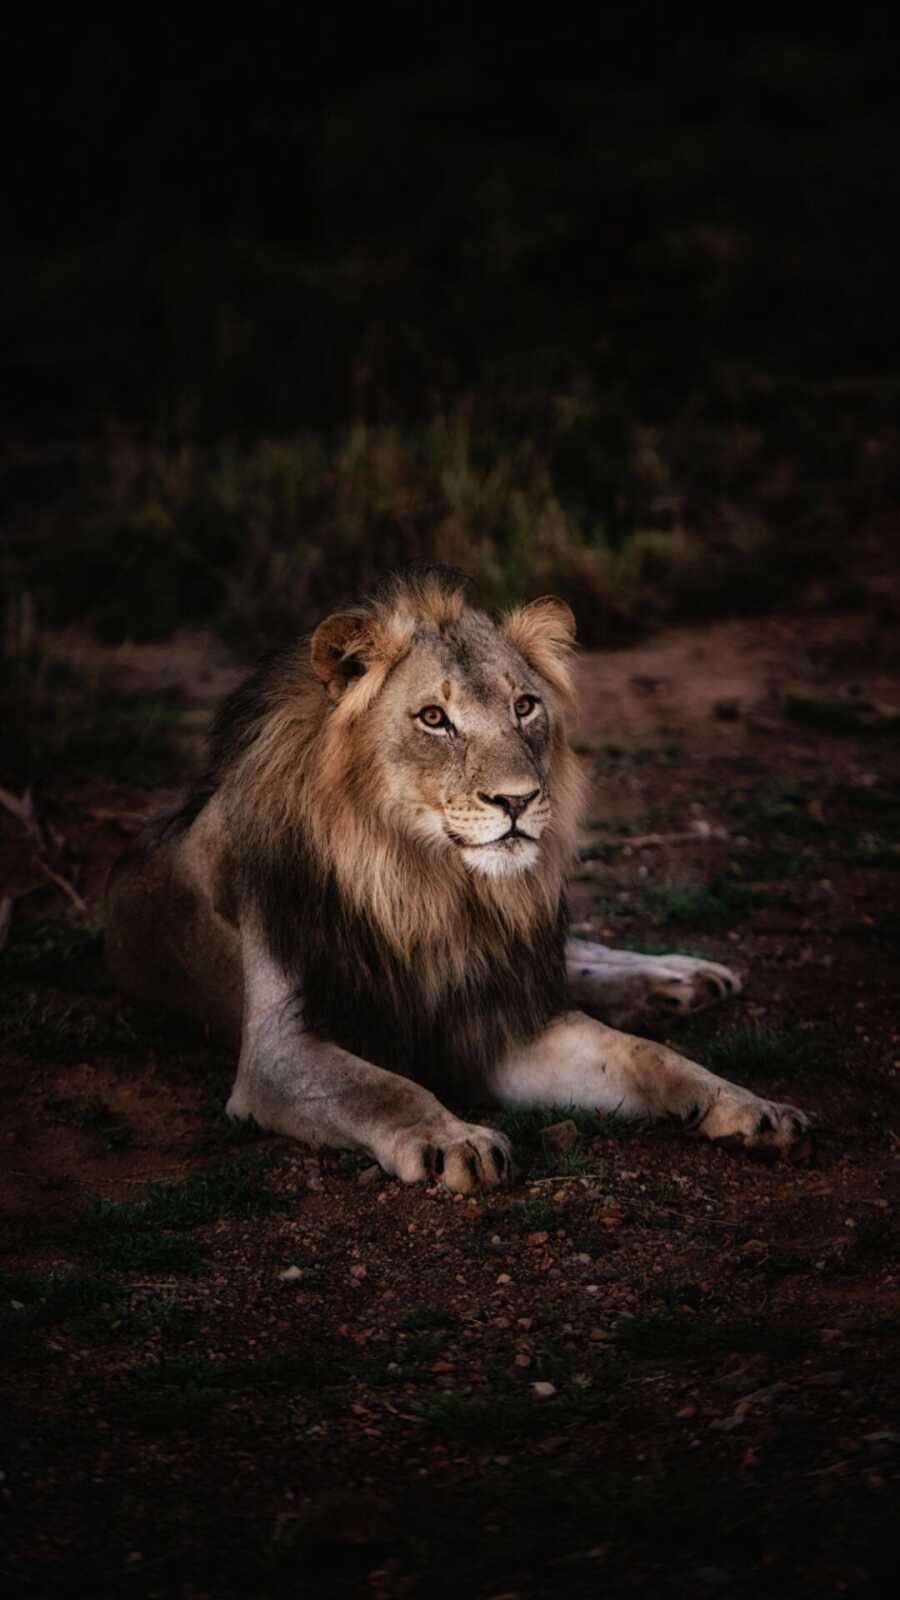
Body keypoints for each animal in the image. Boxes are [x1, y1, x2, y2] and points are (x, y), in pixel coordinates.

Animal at [106, 568, 810, 1193]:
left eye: (524, 706)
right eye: (434, 718)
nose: (518, 800)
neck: (431, 890)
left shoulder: (499, 1020)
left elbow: (646, 1055)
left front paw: (747, 1104)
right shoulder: (278, 1054)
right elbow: (386, 1089)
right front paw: (457, 1140)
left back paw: (681, 977)